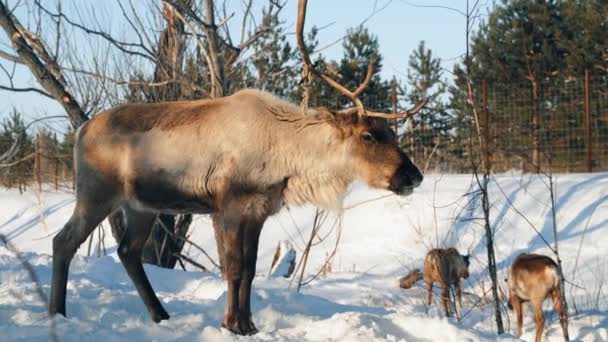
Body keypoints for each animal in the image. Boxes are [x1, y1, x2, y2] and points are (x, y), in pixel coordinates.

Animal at [47, 0, 426, 336]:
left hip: (141, 206)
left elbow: (250, 269)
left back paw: (160, 314)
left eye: (392, 133)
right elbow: (233, 268)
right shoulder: (227, 207)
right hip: (96, 192)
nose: (414, 175)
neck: (287, 159)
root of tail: (80, 131)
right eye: (367, 135)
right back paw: (57, 312)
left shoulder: (257, 211)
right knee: (63, 240)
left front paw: (247, 324)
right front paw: (233, 324)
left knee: (128, 251)